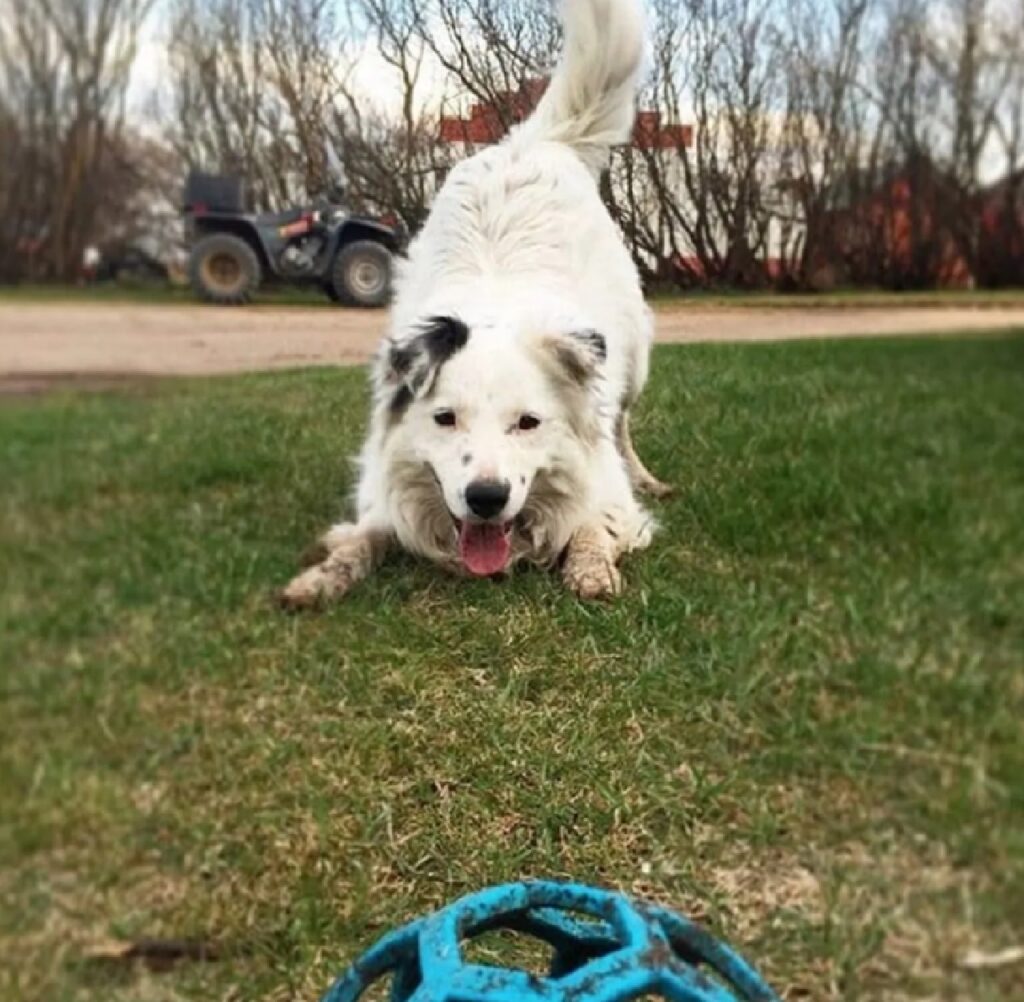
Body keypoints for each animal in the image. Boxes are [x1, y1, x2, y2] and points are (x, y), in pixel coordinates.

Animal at [280, 0, 667, 605]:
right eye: (445, 418)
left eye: (528, 423)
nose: (487, 497)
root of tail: (533, 142)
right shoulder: (385, 488)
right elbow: (368, 533)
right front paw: (325, 574)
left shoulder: (602, 486)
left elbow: (592, 521)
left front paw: (590, 566)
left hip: (632, 363)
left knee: (622, 423)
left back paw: (645, 474)